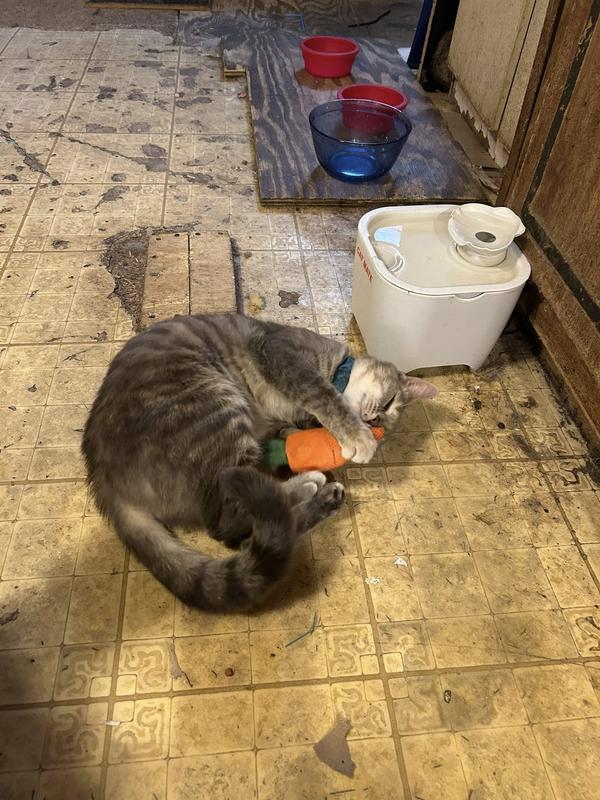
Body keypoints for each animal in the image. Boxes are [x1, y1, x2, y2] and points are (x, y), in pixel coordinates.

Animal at [82, 313, 436, 612]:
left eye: (383, 421)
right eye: (389, 404)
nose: (372, 422)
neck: (336, 367)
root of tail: (103, 478)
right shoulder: (281, 354)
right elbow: (323, 395)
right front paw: (357, 437)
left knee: (246, 526)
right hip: (216, 407)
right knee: (228, 522)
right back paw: (312, 487)